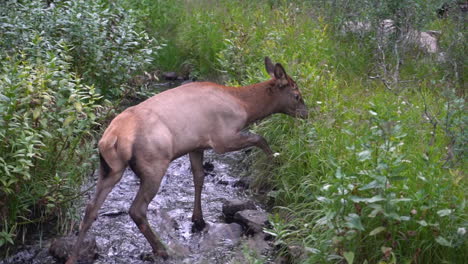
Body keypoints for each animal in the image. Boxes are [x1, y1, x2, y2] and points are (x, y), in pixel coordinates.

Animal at [66, 56, 308, 262]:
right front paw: (275, 162)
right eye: (297, 95)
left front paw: (198, 219)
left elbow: (199, 177)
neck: (245, 107)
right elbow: (260, 138)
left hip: (109, 168)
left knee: (91, 208)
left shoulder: (197, 145)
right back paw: (161, 249)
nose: (307, 114)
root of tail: (112, 138)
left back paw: (73, 256)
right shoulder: (222, 138)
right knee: (137, 209)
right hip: (154, 163)